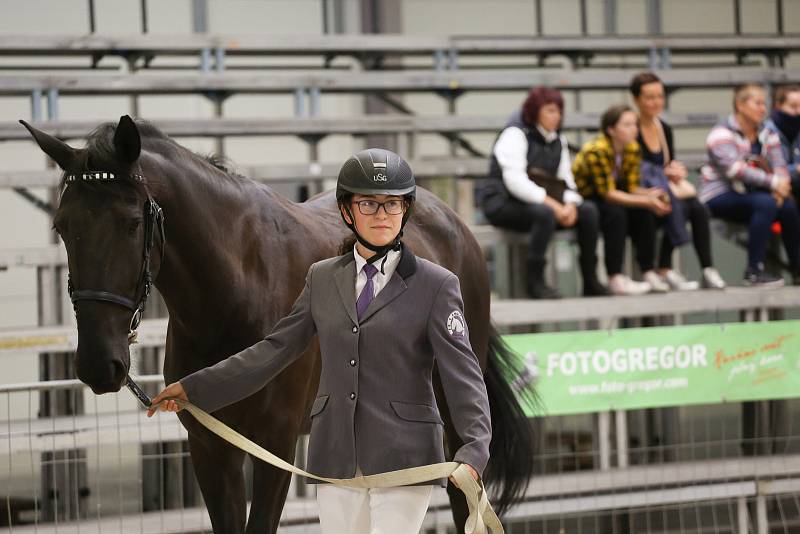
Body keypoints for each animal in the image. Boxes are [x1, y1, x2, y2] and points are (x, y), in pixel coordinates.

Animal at [21, 117, 536, 534]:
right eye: (62, 226)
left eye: (131, 224)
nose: (97, 364)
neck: (236, 288)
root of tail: (452, 221)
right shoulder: (211, 446)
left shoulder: (277, 446)